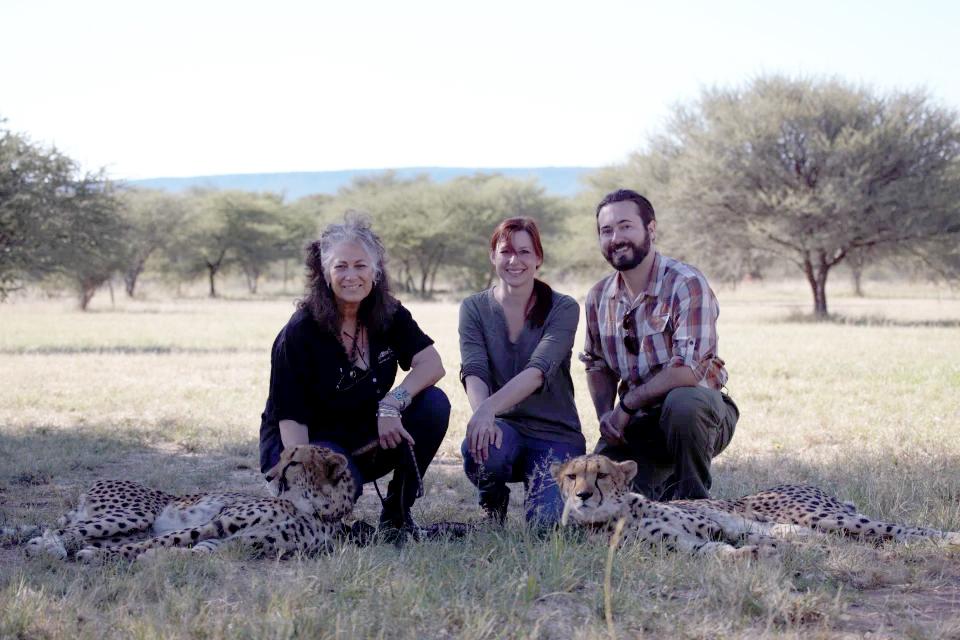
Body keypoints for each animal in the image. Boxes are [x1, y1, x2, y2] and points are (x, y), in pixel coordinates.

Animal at [23, 444, 360, 560]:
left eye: (294, 463)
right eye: (281, 457)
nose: (268, 474)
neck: (311, 509)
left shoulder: (238, 542)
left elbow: (197, 553)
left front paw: (157, 559)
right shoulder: (218, 523)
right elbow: (162, 541)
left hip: (129, 524)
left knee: (73, 532)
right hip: (136, 515)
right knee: (65, 531)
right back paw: (48, 548)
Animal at [552, 452, 960, 556]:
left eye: (601, 475)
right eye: (572, 476)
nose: (582, 495)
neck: (618, 513)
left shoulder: (712, 523)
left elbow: (729, 532)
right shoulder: (682, 545)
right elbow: (718, 551)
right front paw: (755, 554)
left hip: (825, 516)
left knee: (902, 528)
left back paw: (949, 540)